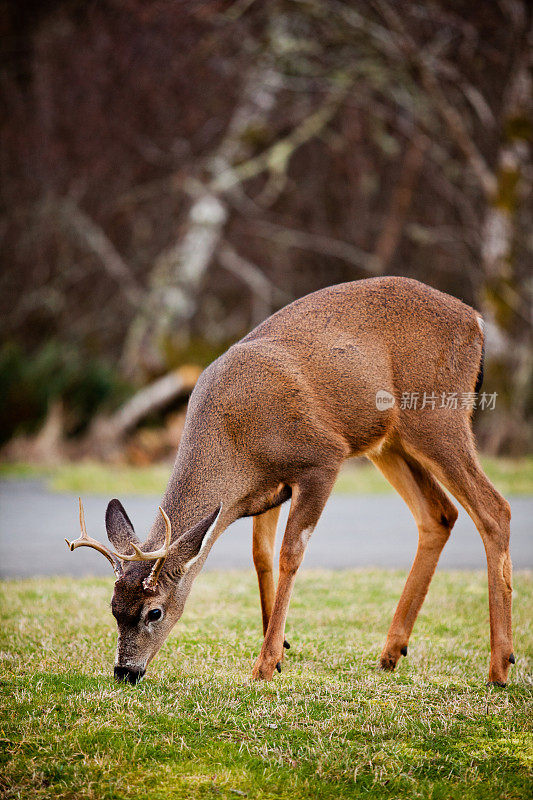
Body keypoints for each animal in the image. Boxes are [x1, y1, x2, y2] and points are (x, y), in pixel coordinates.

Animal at [64, 278, 512, 684]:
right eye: (113, 608)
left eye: (153, 611)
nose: (125, 672)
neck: (235, 441)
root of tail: (476, 320)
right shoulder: (264, 492)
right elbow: (261, 558)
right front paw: (278, 650)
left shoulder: (321, 459)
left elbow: (290, 553)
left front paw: (264, 666)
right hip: (389, 442)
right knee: (440, 514)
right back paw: (391, 653)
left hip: (438, 416)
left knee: (495, 509)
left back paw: (499, 667)